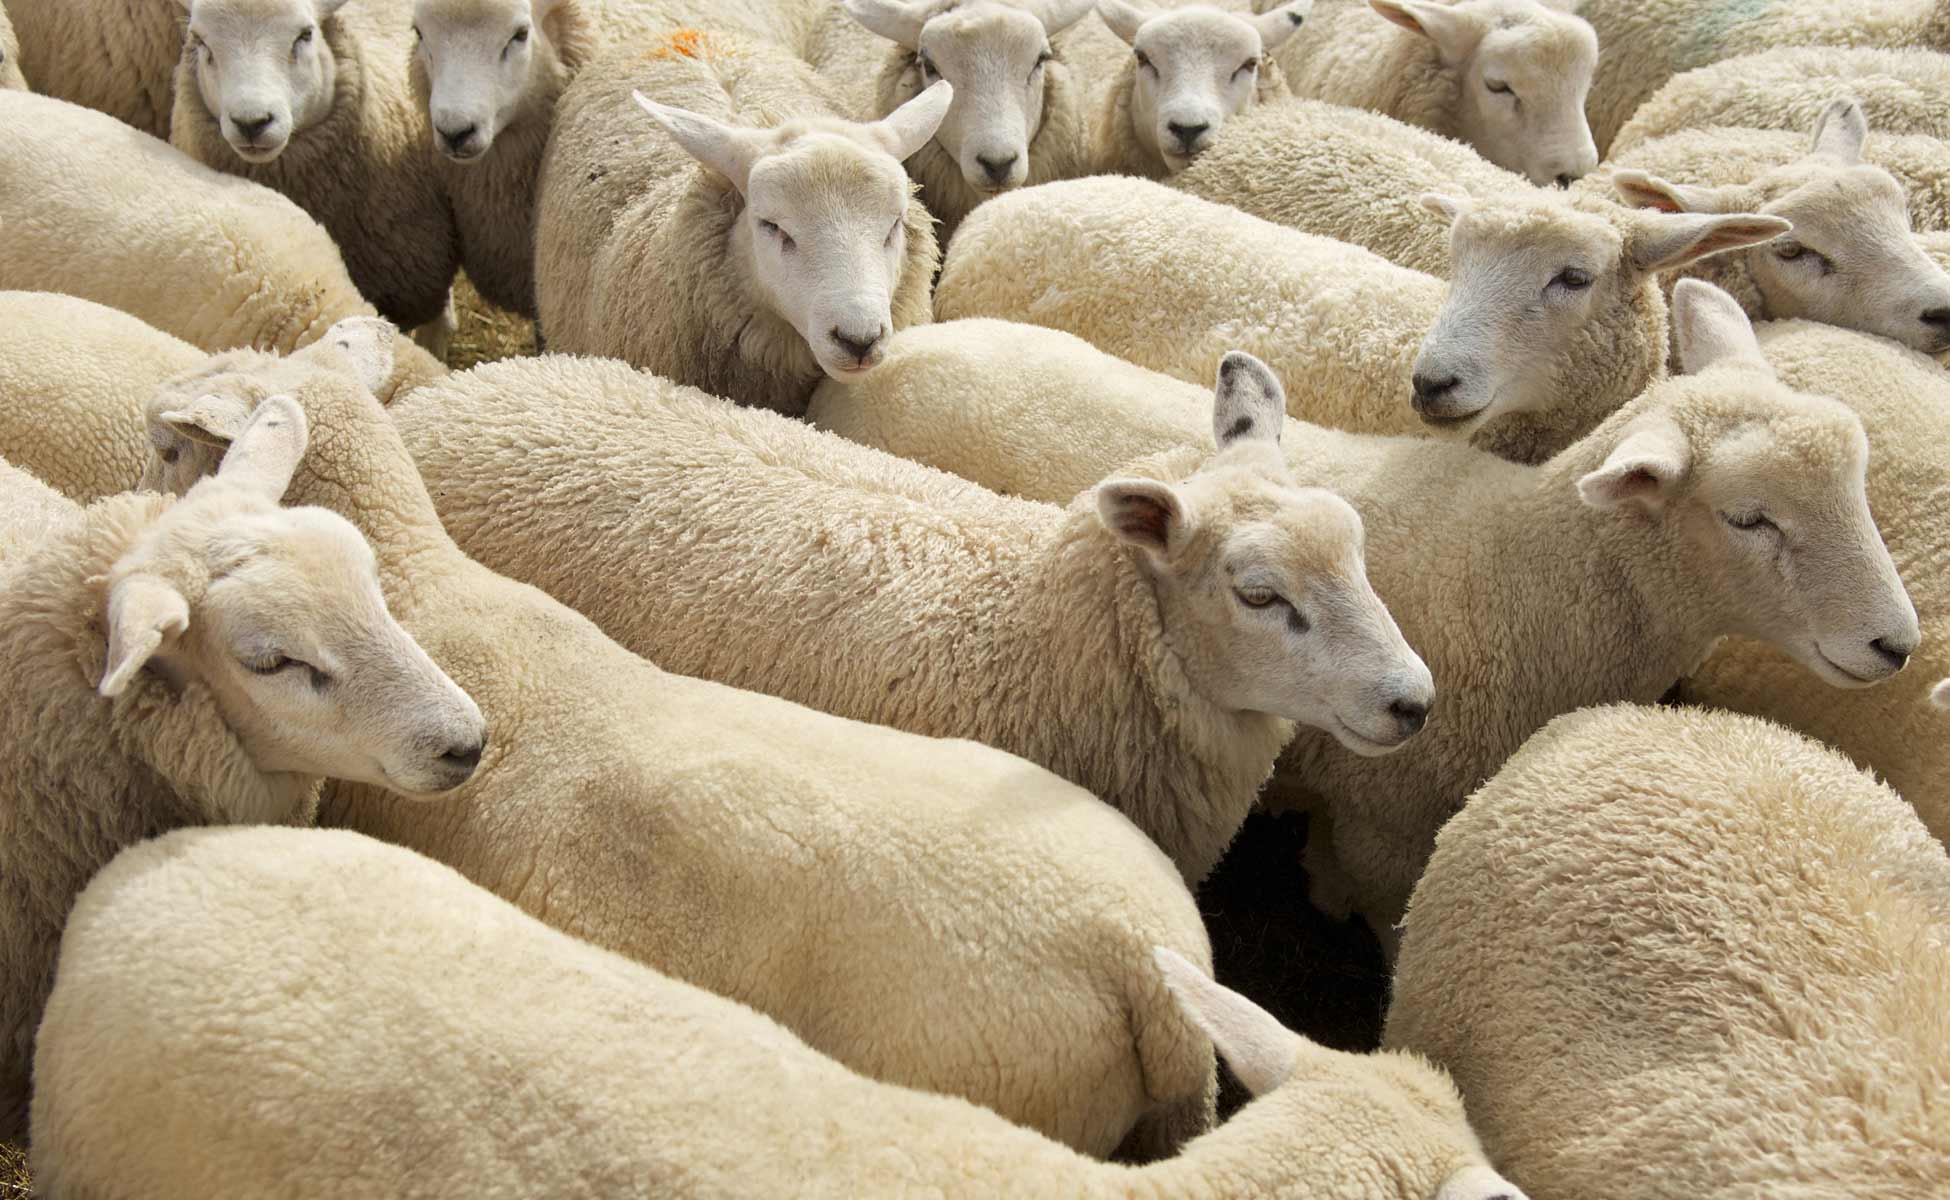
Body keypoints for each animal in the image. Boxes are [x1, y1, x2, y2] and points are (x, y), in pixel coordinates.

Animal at [805, 281, 1920, 938]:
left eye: (1859, 484)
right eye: (1749, 517)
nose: (1896, 644)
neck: (1526, 575)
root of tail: (900, 349)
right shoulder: (1387, 831)